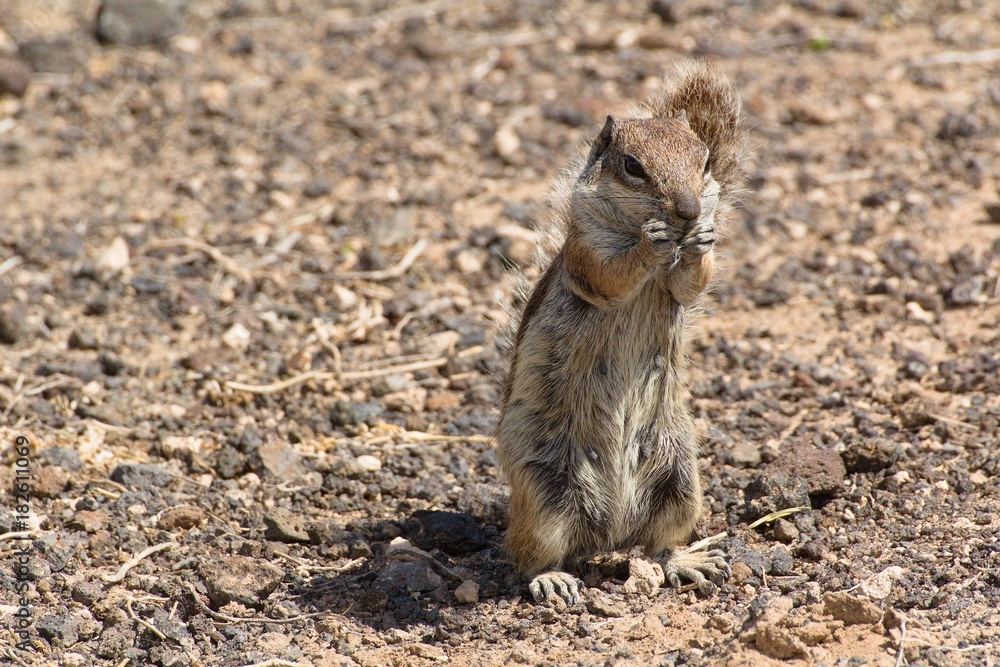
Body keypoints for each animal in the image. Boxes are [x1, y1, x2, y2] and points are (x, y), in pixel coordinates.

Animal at [495, 62, 748, 604]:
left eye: (705, 160)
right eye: (632, 166)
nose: (689, 212)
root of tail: (608, 532)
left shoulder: (681, 283)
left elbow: (692, 282)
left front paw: (698, 244)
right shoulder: (586, 254)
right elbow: (611, 276)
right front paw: (651, 244)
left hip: (681, 478)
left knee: (657, 544)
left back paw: (685, 561)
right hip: (543, 490)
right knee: (527, 553)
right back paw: (550, 578)